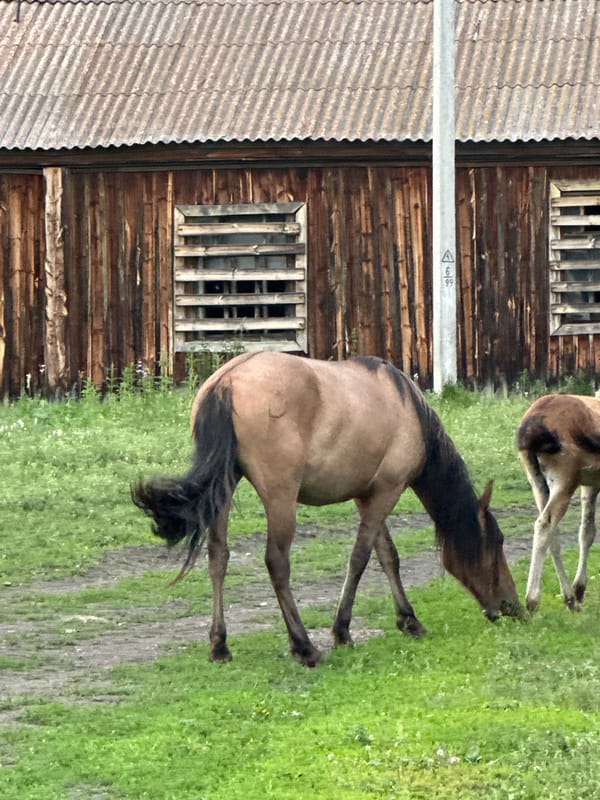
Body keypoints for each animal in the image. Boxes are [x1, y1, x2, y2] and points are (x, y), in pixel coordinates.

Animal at [132, 351, 520, 666]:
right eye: (497, 543)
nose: (512, 606)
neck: (408, 409)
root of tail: (226, 382)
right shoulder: (386, 491)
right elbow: (360, 558)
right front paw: (342, 631)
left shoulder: (368, 495)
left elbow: (387, 555)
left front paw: (408, 619)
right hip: (280, 497)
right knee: (276, 562)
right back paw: (304, 646)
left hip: (223, 490)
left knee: (218, 557)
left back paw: (220, 646)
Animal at [517, 393, 600, 612]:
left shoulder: (591, 483)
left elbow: (587, 532)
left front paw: (580, 588)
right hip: (564, 479)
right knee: (544, 524)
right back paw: (532, 600)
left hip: (536, 481)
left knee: (551, 532)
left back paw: (570, 597)